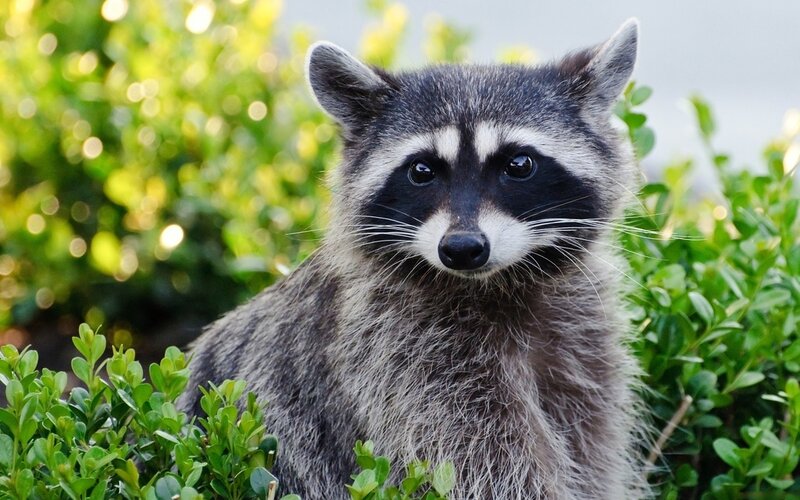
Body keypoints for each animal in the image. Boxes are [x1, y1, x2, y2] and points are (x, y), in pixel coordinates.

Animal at [179, 19, 650, 499]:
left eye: (519, 165)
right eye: (422, 171)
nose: (462, 248)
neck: (494, 282)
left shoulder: (583, 346)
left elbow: (591, 450)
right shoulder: (398, 353)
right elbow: (479, 465)